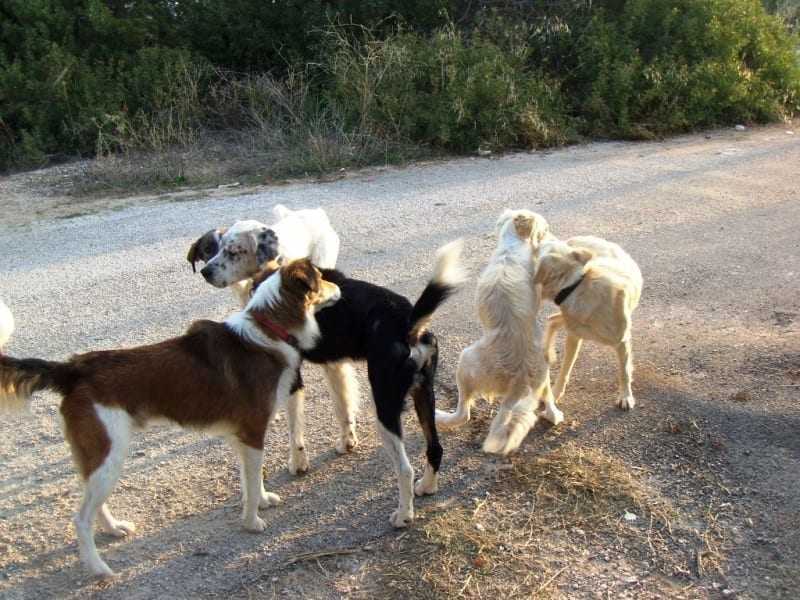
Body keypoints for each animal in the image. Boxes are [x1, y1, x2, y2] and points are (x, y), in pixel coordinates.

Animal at [0, 258, 340, 576]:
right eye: (321, 279)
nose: (339, 288)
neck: (268, 329)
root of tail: (74, 368)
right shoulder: (253, 432)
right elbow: (253, 482)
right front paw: (252, 521)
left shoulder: (241, 436)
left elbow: (250, 480)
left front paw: (264, 500)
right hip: (109, 454)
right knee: (80, 519)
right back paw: (99, 568)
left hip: (100, 458)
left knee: (93, 504)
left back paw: (113, 529)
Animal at [253, 239, 466, 524]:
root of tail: (408, 322)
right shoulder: (333, 364)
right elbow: (343, 407)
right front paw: (346, 443)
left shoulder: (293, 377)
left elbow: (295, 428)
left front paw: (297, 463)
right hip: (424, 396)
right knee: (435, 448)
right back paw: (427, 486)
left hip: (386, 409)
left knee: (405, 469)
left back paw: (403, 516)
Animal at [438, 211, 564, 454]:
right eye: (545, 230)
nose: (556, 240)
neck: (512, 247)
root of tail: (519, 381)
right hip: (542, 372)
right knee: (549, 400)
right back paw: (553, 413)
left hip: (465, 360)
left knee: (463, 413)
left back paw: (440, 416)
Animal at [536, 237, 644, 410]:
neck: (576, 286)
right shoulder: (573, 336)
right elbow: (565, 369)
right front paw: (556, 393)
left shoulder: (622, 341)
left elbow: (624, 371)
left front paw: (626, 396)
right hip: (568, 321)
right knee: (552, 319)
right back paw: (547, 351)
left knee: (552, 319)